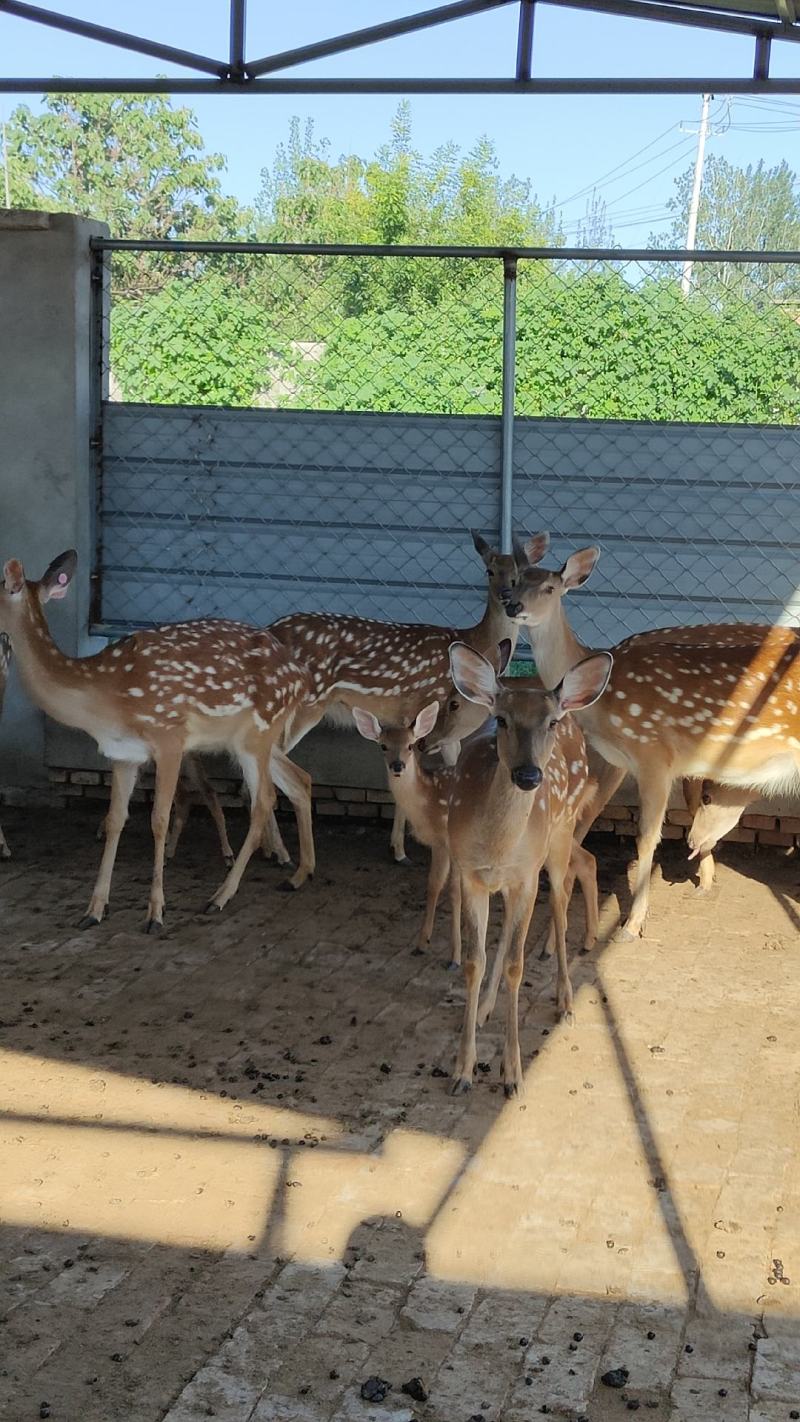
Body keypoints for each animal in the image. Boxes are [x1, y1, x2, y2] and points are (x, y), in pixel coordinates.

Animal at [0, 550, 316, 930]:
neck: (104, 695)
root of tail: (302, 676)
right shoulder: (122, 753)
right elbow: (115, 819)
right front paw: (94, 910)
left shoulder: (169, 737)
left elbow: (159, 819)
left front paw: (155, 913)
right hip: (251, 740)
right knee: (298, 780)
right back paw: (298, 874)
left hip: (259, 731)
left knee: (263, 800)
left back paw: (219, 896)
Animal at [269, 530, 528, 867]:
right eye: (489, 570)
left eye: (521, 573)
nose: (507, 597)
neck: (474, 642)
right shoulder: (425, 708)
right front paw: (401, 850)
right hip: (304, 706)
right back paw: (280, 853)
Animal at [352, 698, 462, 969]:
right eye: (383, 746)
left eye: (410, 745)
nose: (398, 765)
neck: (431, 800)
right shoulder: (439, 844)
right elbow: (433, 885)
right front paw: (422, 944)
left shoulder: (452, 842)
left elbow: (454, 892)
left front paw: (455, 958)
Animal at [445, 642, 613, 1097]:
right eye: (502, 719)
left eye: (548, 723)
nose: (528, 774)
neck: (498, 846)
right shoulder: (471, 874)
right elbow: (476, 960)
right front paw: (463, 1069)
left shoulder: (526, 876)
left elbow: (516, 967)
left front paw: (513, 1073)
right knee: (506, 938)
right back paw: (486, 1008)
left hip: (559, 837)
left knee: (561, 900)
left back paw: (566, 1000)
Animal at [503, 533, 800, 938]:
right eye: (516, 581)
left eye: (550, 587)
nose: (512, 605)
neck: (602, 699)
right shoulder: (627, 760)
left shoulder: (653, 754)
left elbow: (645, 838)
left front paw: (631, 924)